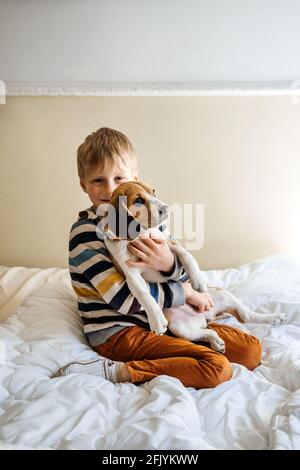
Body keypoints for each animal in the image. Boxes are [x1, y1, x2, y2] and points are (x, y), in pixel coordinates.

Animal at [98, 182, 286, 350]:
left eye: (153, 192)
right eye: (138, 200)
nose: (166, 208)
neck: (140, 235)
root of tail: (206, 317)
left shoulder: (169, 245)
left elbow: (186, 256)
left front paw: (197, 279)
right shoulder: (130, 273)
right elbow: (144, 294)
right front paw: (156, 319)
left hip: (222, 295)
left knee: (246, 315)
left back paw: (273, 318)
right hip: (181, 328)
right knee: (210, 331)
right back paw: (216, 341)